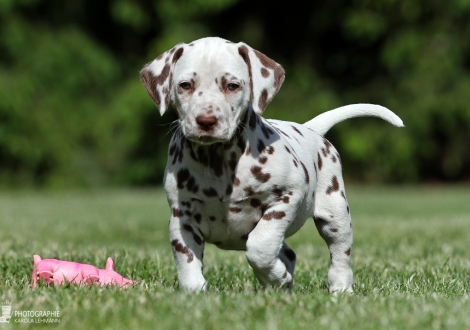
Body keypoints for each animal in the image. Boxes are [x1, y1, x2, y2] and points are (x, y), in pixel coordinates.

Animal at [140, 37, 404, 292]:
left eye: (232, 86)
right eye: (185, 85)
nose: (206, 121)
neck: (218, 162)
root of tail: (311, 129)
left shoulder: (286, 198)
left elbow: (260, 246)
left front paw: (276, 276)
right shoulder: (182, 217)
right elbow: (186, 261)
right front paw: (196, 290)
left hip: (335, 214)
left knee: (339, 254)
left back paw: (339, 288)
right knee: (288, 253)